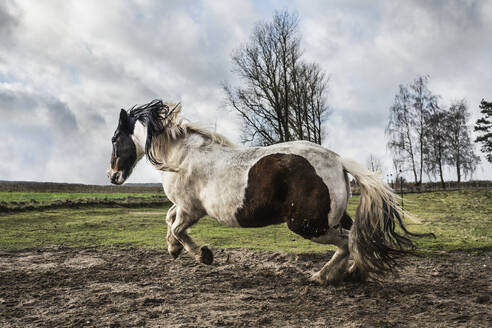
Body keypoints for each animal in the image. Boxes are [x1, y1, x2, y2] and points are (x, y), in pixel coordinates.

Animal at [106, 98, 430, 284]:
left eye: (114, 139)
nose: (112, 176)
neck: (182, 157)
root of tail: (338, 160)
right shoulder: (185, 207)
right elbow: (168, 220)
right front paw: (174, 249)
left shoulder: (190, 209)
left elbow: (176, 227)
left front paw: (203, 255)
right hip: (328, 220)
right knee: (355, 239)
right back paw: (351, 273)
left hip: (308, 225)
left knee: (349, 242)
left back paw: (324, 276)